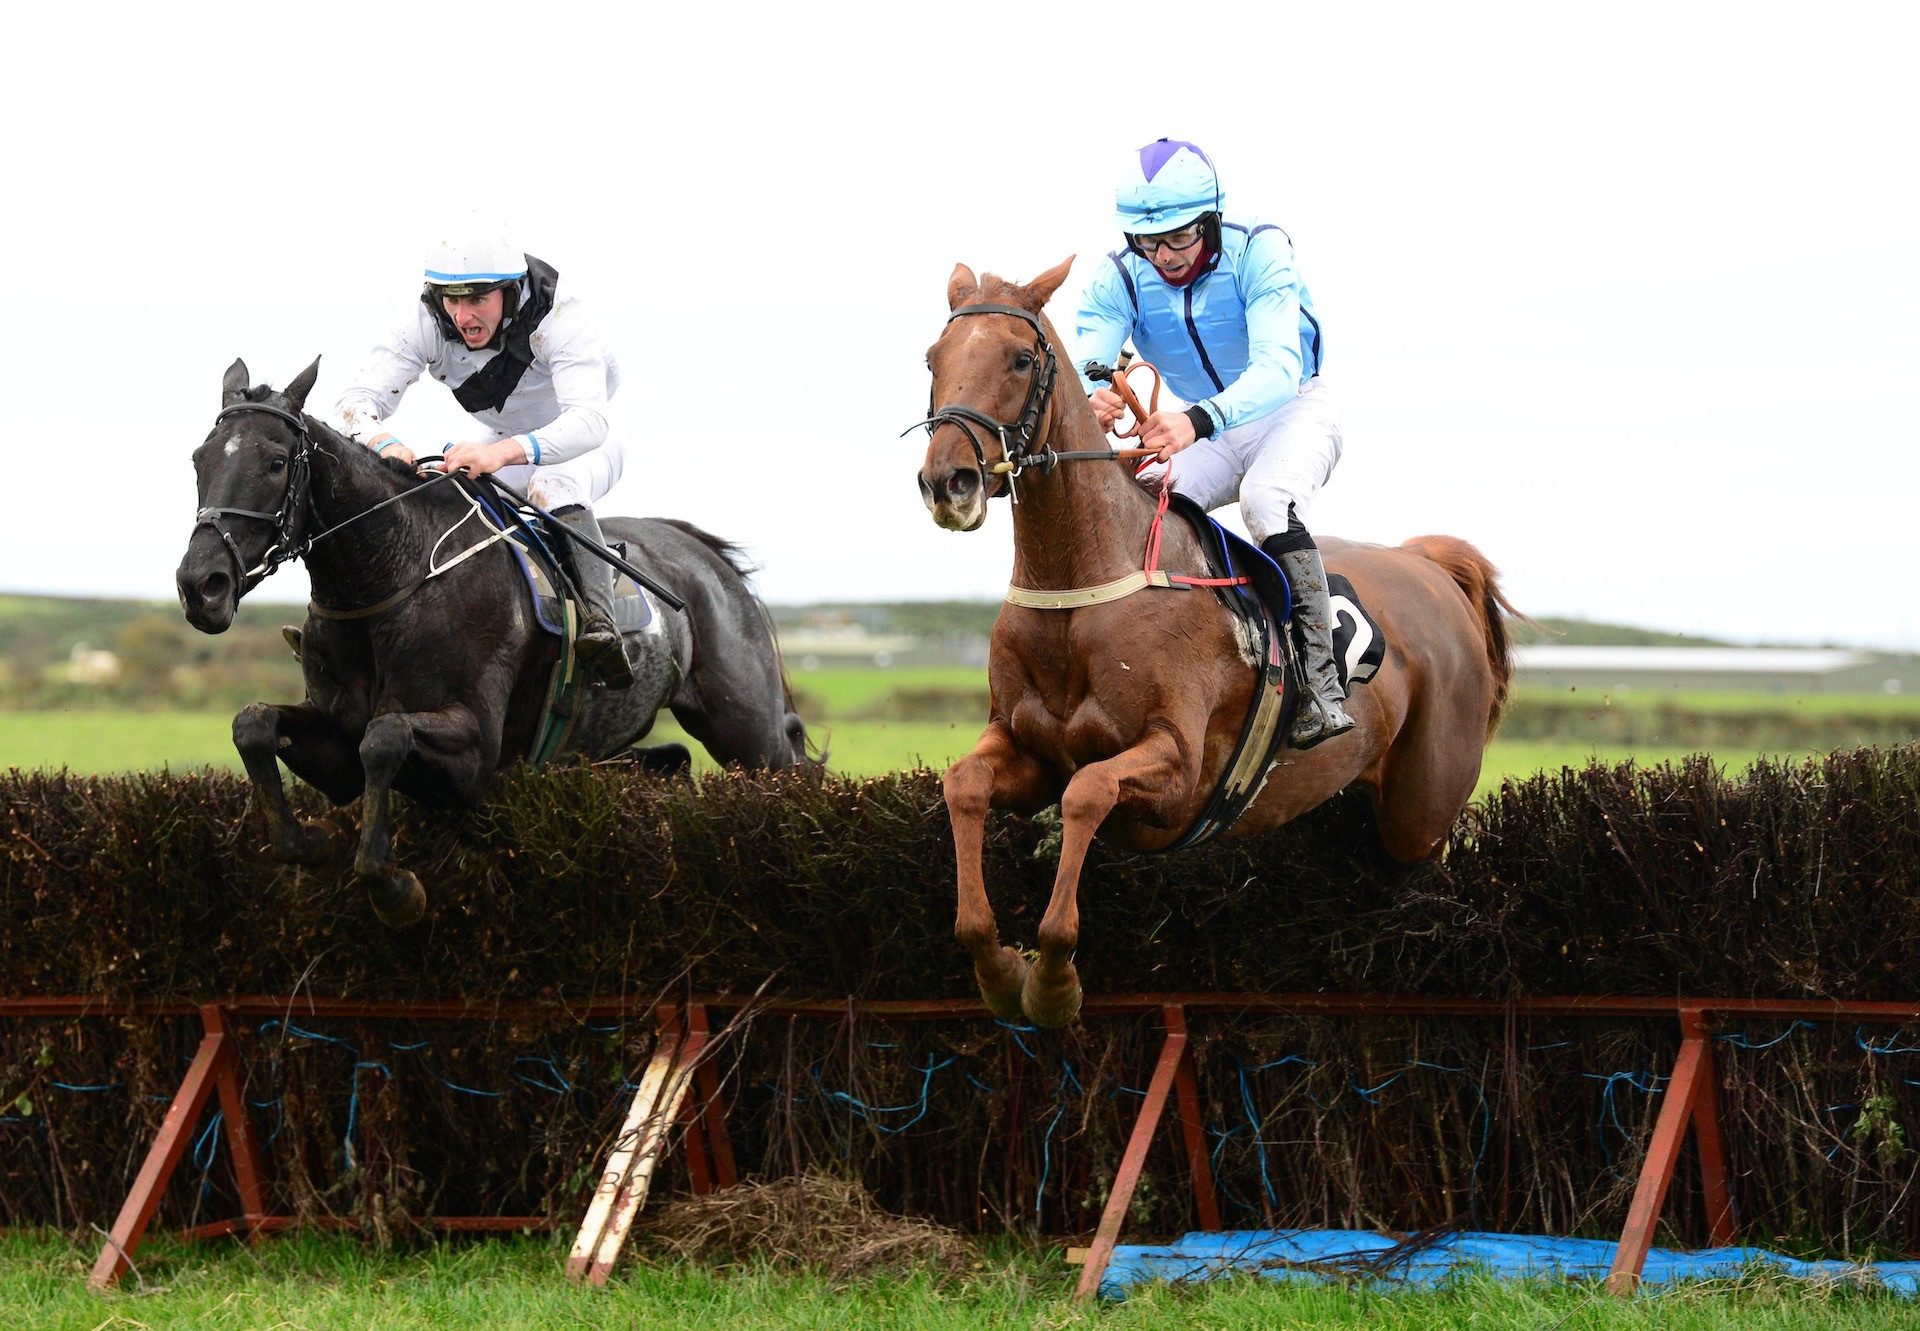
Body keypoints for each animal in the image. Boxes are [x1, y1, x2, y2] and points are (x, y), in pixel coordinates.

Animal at [910, 259, 1512, 1029]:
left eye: (1020, 358)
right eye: (935, 358)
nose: (947, 482)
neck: (1083, 585)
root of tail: (1429, 563)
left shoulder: (1178, 770)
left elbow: (1086, 792)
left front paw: (1051, 979)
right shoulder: (1024, 747)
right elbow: (966, 786)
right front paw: (997, 968)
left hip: (1422, 811)